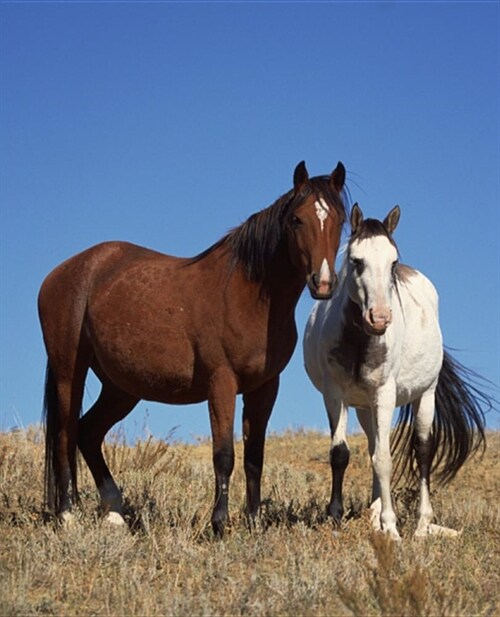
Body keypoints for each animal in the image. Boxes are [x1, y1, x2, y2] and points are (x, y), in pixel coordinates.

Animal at [39, 160, 348, 536]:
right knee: (65, 436)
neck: (247, 294)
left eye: (340, 219)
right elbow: (224, 455)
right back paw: (68, 515)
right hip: (70, 372)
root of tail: (63, 272)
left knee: (88, 432)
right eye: (297, 219)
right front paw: (219, 524)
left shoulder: (264, 388)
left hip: (121, 388)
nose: (323, 283)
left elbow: (254, 457)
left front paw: (253, 522)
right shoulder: (222, 383)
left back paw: (114, 512)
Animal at [302, 205, 486, 536]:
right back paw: (375, 515)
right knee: (375, 445)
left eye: (393, 262)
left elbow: (385, 460)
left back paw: (421, 525)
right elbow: (341, 454)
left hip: (425, 395)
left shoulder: (385, 394)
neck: (358, 340)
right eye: (356, 260)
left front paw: (392, 527)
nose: (380, 318)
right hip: (366, 408)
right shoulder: (335, 395)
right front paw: (336, 518)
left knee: (422, 449)